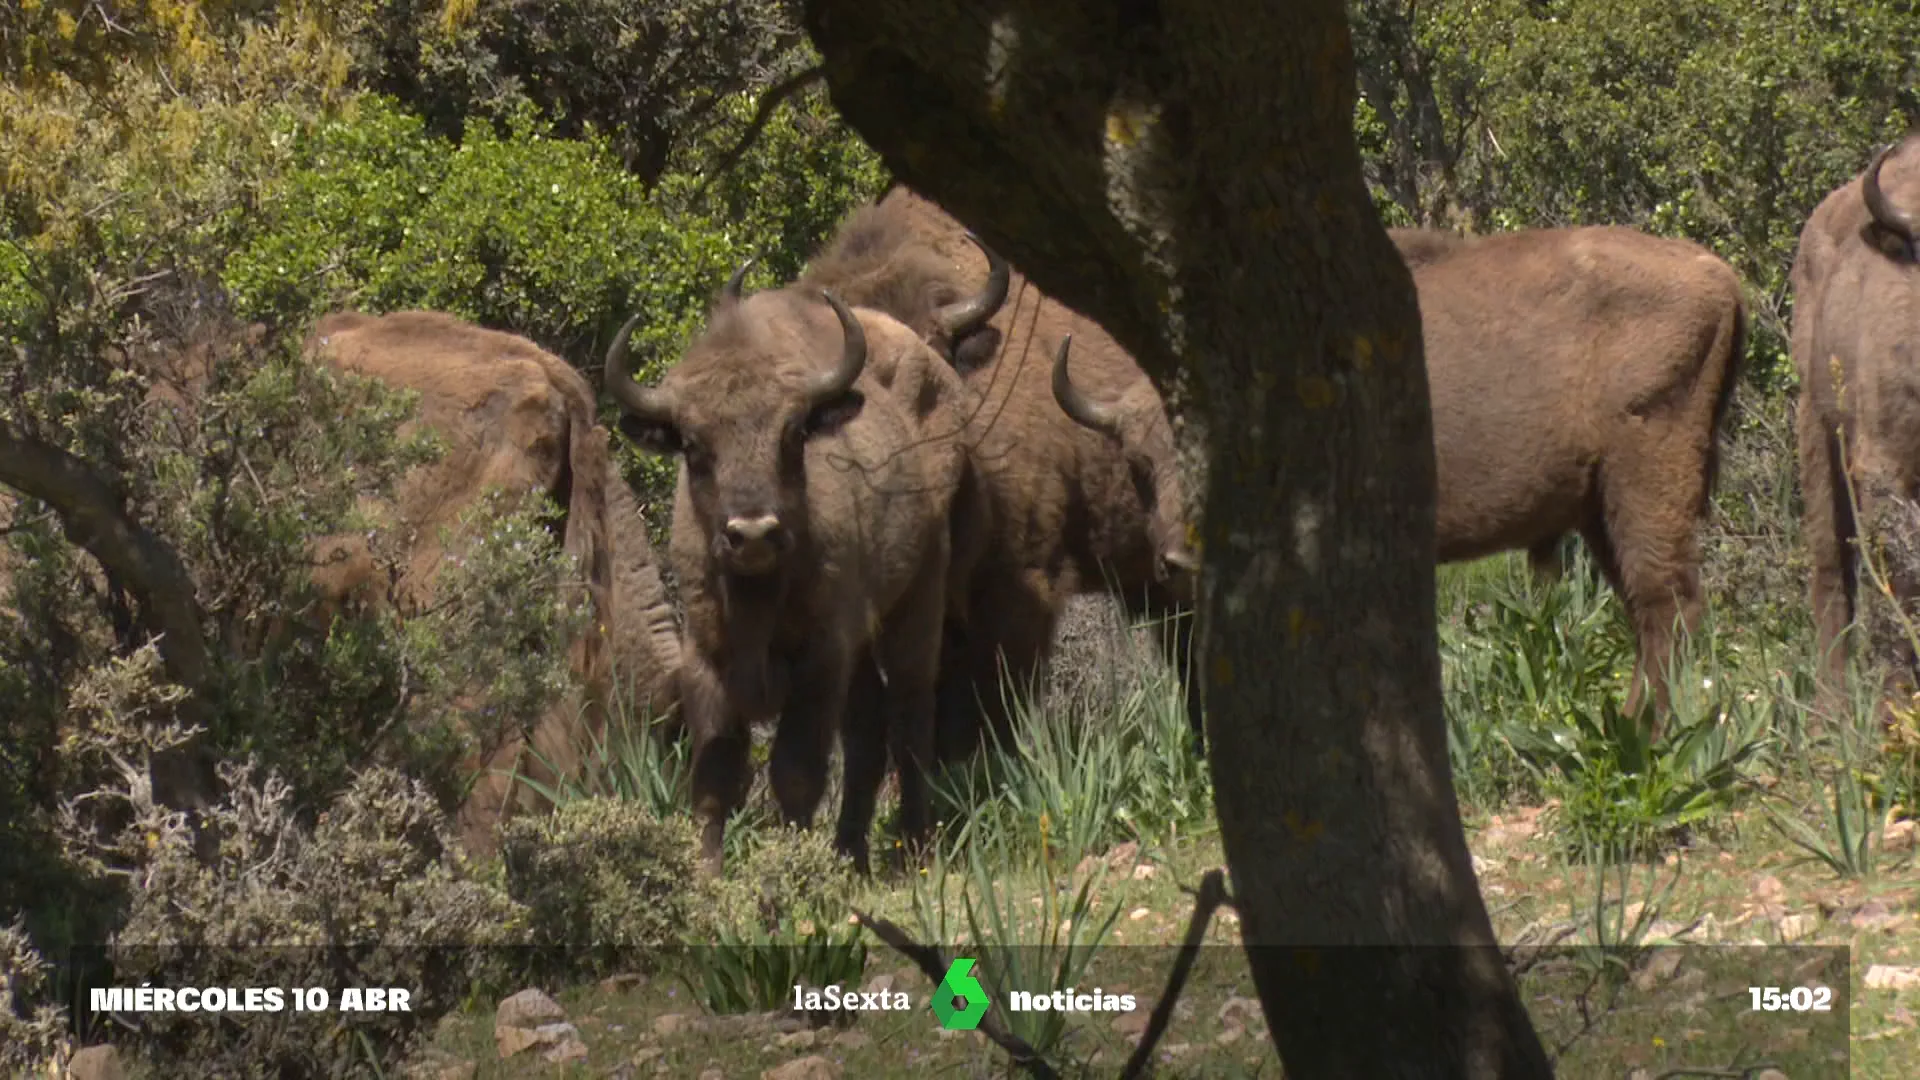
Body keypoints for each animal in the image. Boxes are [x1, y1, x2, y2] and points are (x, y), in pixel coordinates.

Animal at [606, 272, 983, 868]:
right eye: (693, 444)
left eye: (793, 433)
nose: (753, 532)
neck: (758, 596)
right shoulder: (706, 659)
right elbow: (715, 778)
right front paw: (708, 874)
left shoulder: (819, 660)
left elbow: (797, 773)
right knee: (869, 732)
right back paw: (851, 854)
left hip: (915, 605)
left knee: (910, 719)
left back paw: (914, 851)